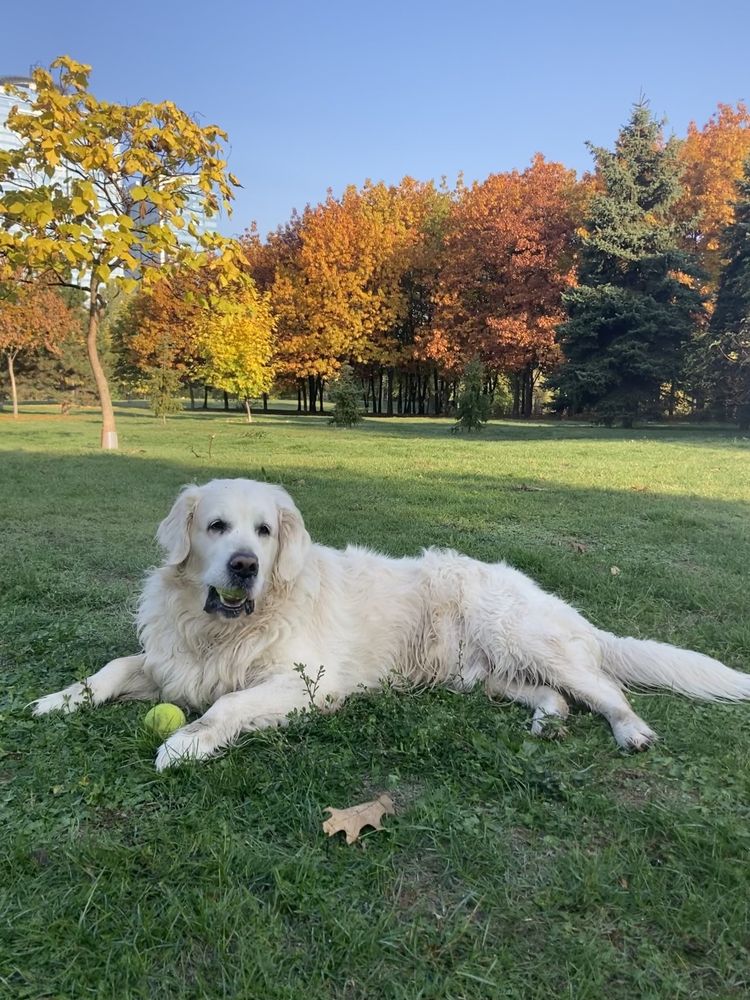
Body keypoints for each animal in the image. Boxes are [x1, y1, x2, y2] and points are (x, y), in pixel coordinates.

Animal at [32, 476, 750, 764]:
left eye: (264, 532)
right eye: (216, 526)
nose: (244, 567)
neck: (222, 628)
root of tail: (534, 587)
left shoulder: (305, 682)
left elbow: (227, 707)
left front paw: (184, 742)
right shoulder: (172, 663)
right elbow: (113, 667)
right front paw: (58, 700)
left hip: (520, 635)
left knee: (606, 688)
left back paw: (632, 732)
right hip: (482, 675)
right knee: (556, 696)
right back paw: (547, 721)